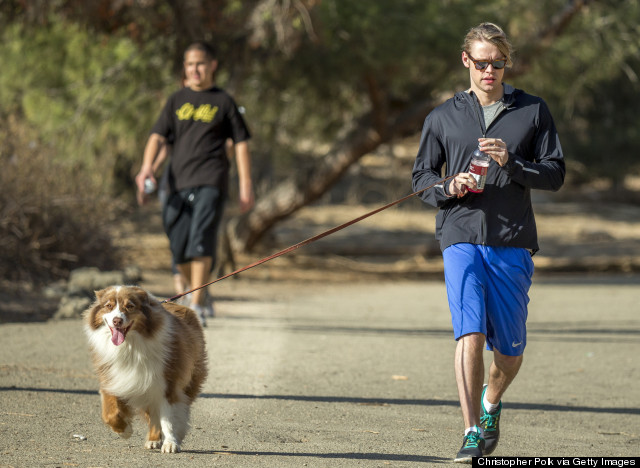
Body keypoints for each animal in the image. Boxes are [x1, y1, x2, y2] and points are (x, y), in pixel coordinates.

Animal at [83, 286, 208, 454]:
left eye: (130, 306)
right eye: (108, 306)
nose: (117, 321)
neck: (129, 346)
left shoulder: (167, 383)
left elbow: (169, 418)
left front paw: (171, 443)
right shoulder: (113, 377)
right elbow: (110, 413)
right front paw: (124, 430)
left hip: (189, 376)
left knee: (181, 407)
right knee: (153, 414)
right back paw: (153, 440)